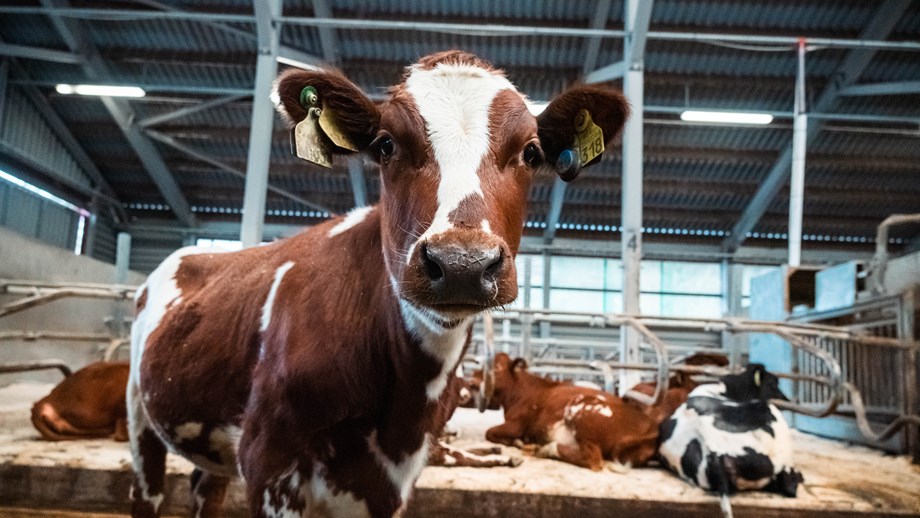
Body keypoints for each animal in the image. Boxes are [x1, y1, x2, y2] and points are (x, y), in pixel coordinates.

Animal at [129, 49, 628, 518]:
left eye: (530, 152)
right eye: (386, 145)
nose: (461, 263)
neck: (402, 406)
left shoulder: (392, 483)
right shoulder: (268, 462)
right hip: (141, 416)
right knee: (146, 490)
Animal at [482, 356, 660, 474]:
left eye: (496, 367)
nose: (476, 381)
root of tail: (649, 428)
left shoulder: (516, 423)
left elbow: (490, 432)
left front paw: (517, 442)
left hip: (583, 414)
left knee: (593, 459)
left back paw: (546, 448)